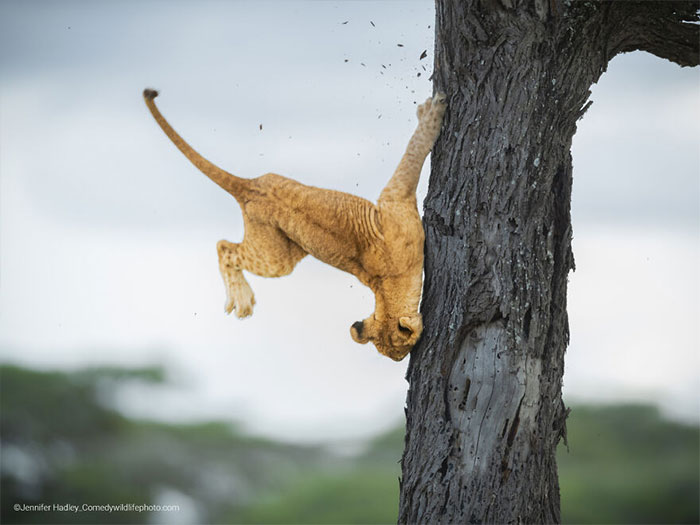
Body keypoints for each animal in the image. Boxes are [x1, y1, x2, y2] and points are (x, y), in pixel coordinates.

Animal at [143, 88, 446, 361]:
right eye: (400, 352)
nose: (400, 362)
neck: (385, 290)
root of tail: (247, 187)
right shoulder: (394, 199)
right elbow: (412, 155)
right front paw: (431, 113)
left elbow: (412, 155)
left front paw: (428, 111)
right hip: (275, 260)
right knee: (224, 247)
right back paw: (241, 300)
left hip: (292, 243)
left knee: (227, 244)